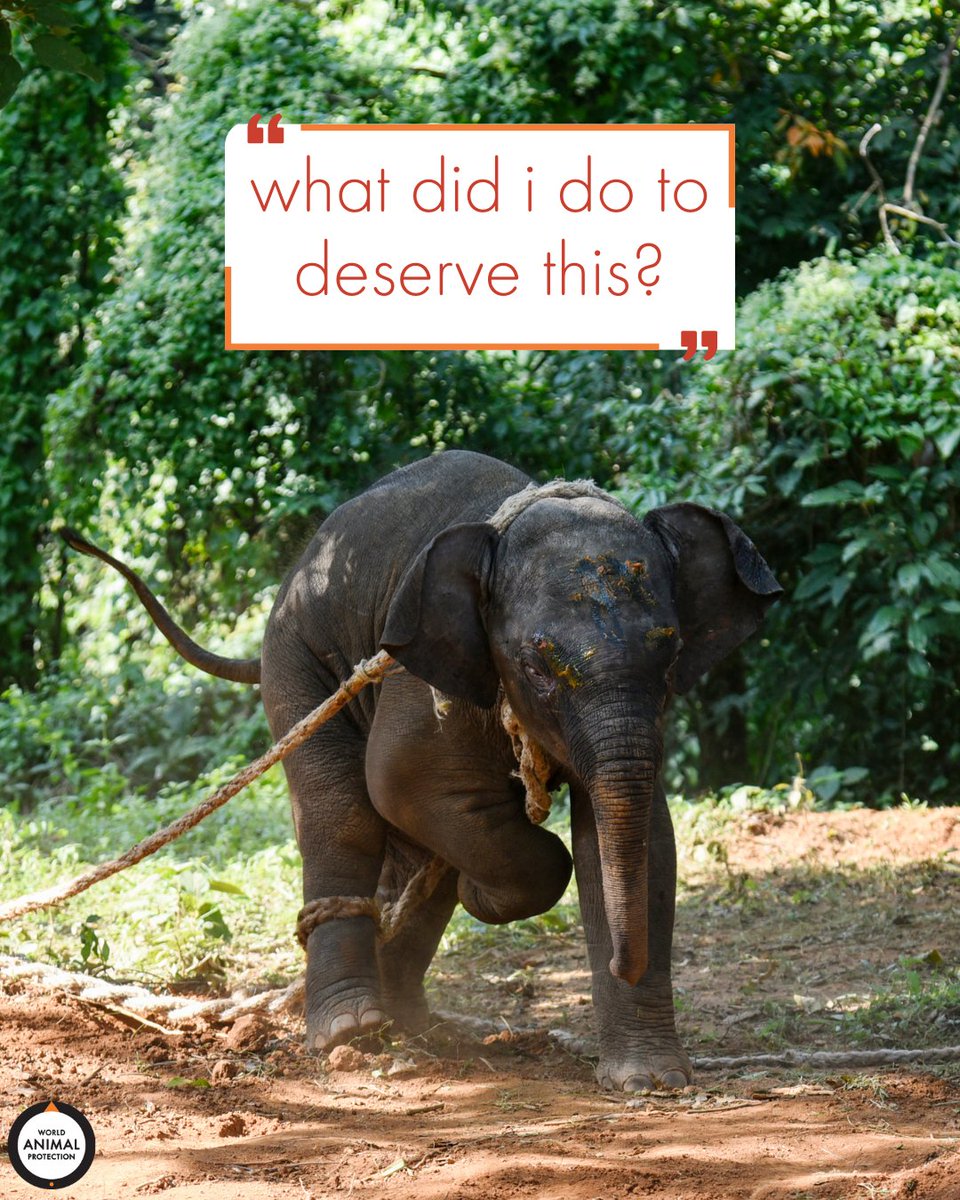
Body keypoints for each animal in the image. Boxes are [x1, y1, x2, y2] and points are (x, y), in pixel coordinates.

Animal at [66, 449, 781, 1091]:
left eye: (673, 655)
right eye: (538, 664)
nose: (621, 965)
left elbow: (645, 841)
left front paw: (652, 1082)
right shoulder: (419, 672)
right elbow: (398, 781)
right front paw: (487, 889)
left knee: (405, 846)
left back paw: (407, 1021)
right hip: (297, 659)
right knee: (341, 812)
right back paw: (352, 1028)